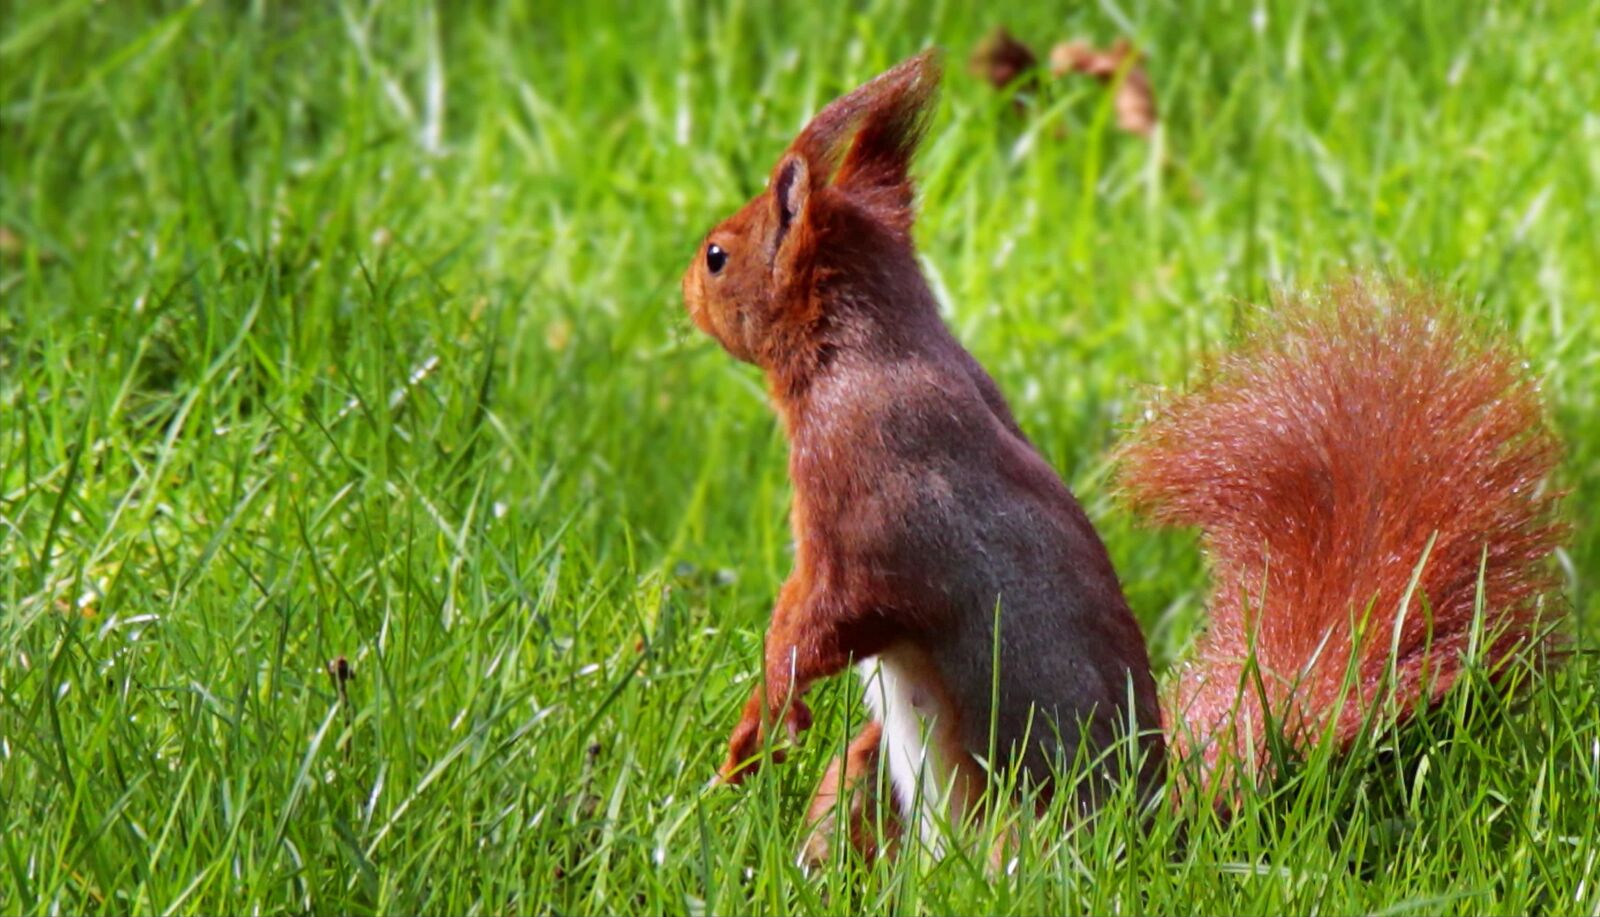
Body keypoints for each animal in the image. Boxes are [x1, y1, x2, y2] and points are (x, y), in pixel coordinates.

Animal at [679, 49, 1566, 862]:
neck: (863, 346)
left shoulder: (865, 485)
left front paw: (755, 725)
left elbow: (823, 616)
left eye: (719, 255)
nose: (683, 290)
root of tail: (1150, 841)